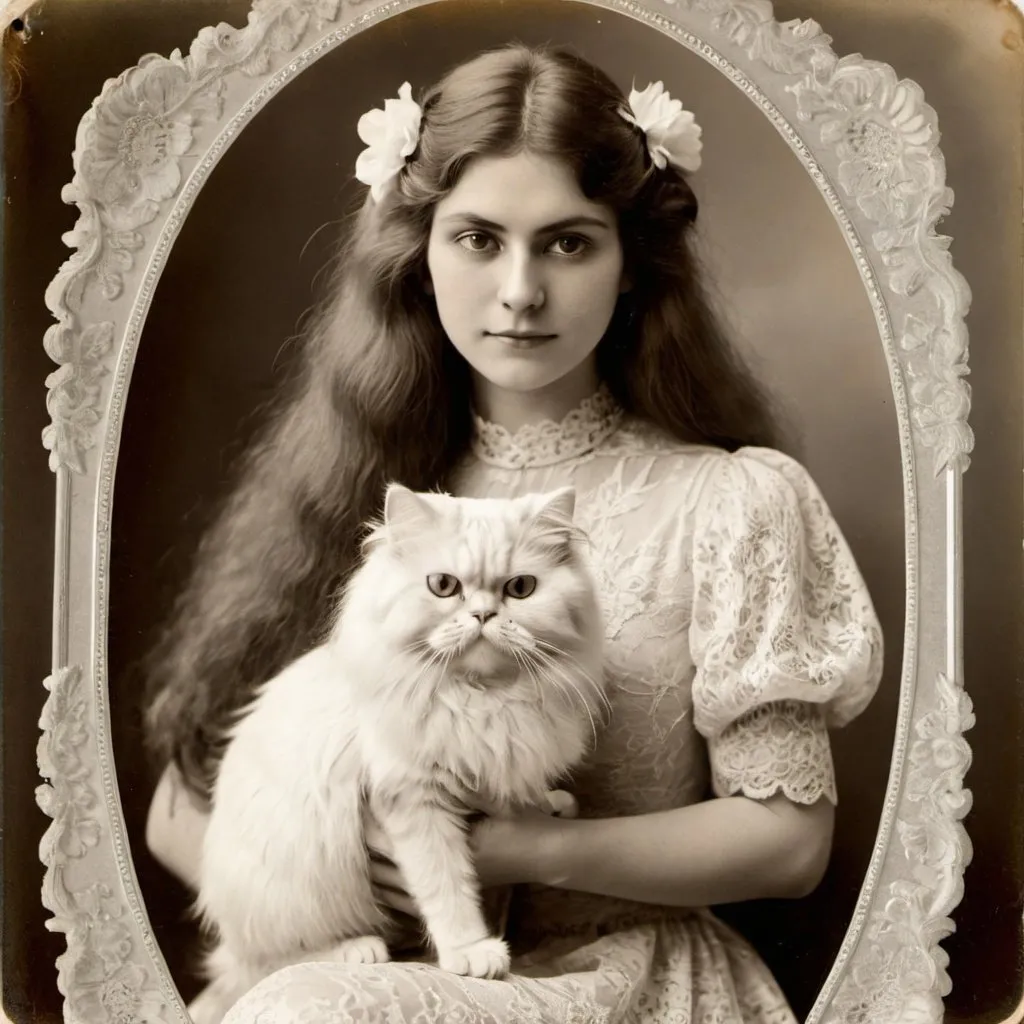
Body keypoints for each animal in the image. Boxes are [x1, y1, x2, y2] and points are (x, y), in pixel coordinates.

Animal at [190, 483, 606, 1019]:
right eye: (444, 586)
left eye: (520, 589)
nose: (483, 615)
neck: (482, 698)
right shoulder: (413, 799)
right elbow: (447, 885)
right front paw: (472, 952)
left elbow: (523, 799)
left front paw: (552, 805)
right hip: (299, 882)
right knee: (264, 964)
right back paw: (360, 949)